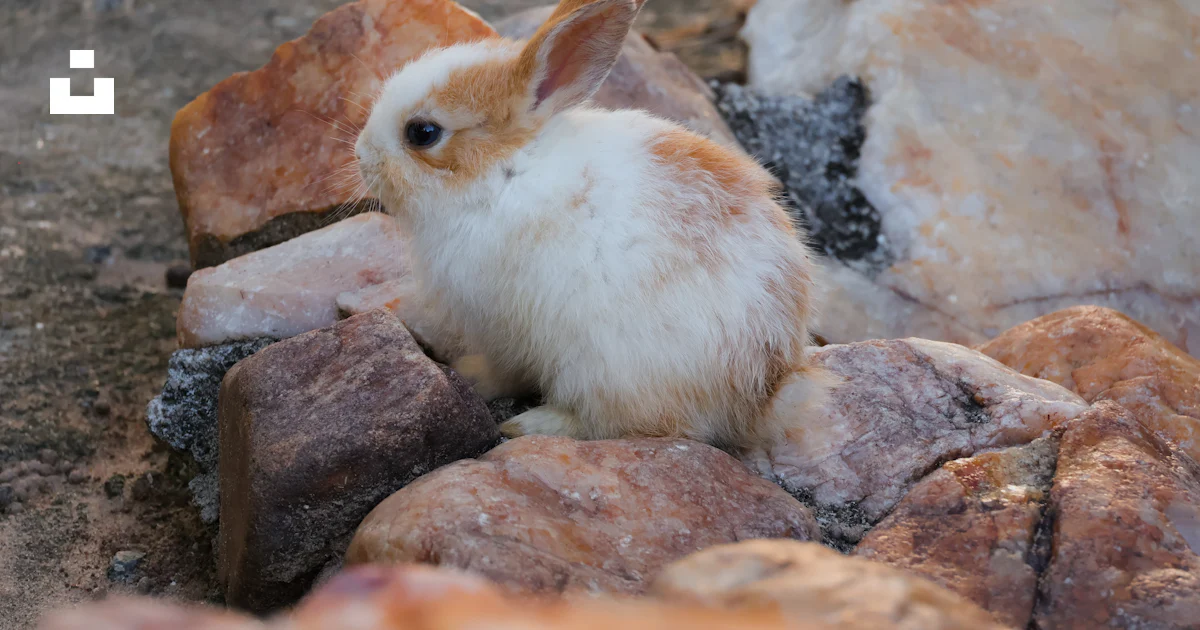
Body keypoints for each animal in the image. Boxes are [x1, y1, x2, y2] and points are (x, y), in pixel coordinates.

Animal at [354, 0, 826, 453]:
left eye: (422, 132)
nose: (361, 154)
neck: (504, 171)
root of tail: (765, 390)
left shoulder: (502, 328)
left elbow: (504, 369)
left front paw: (471, 376)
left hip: (608, 371)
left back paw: (531, 424)